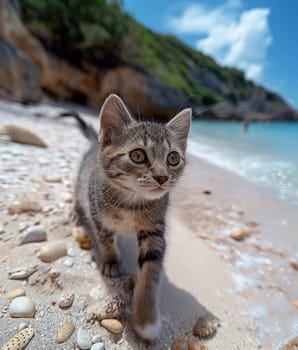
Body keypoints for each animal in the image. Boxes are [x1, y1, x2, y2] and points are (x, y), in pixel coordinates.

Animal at [71, 94, 191, 340]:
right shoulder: (97, 214)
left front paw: (146, 318)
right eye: (138, 155)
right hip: (81, 186)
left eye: (173, 158)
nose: (162, 177)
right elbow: (106, 239)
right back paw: (77, 214)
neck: (132, 202)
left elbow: (150, 272)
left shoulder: (154, 233)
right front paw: (111, 260)